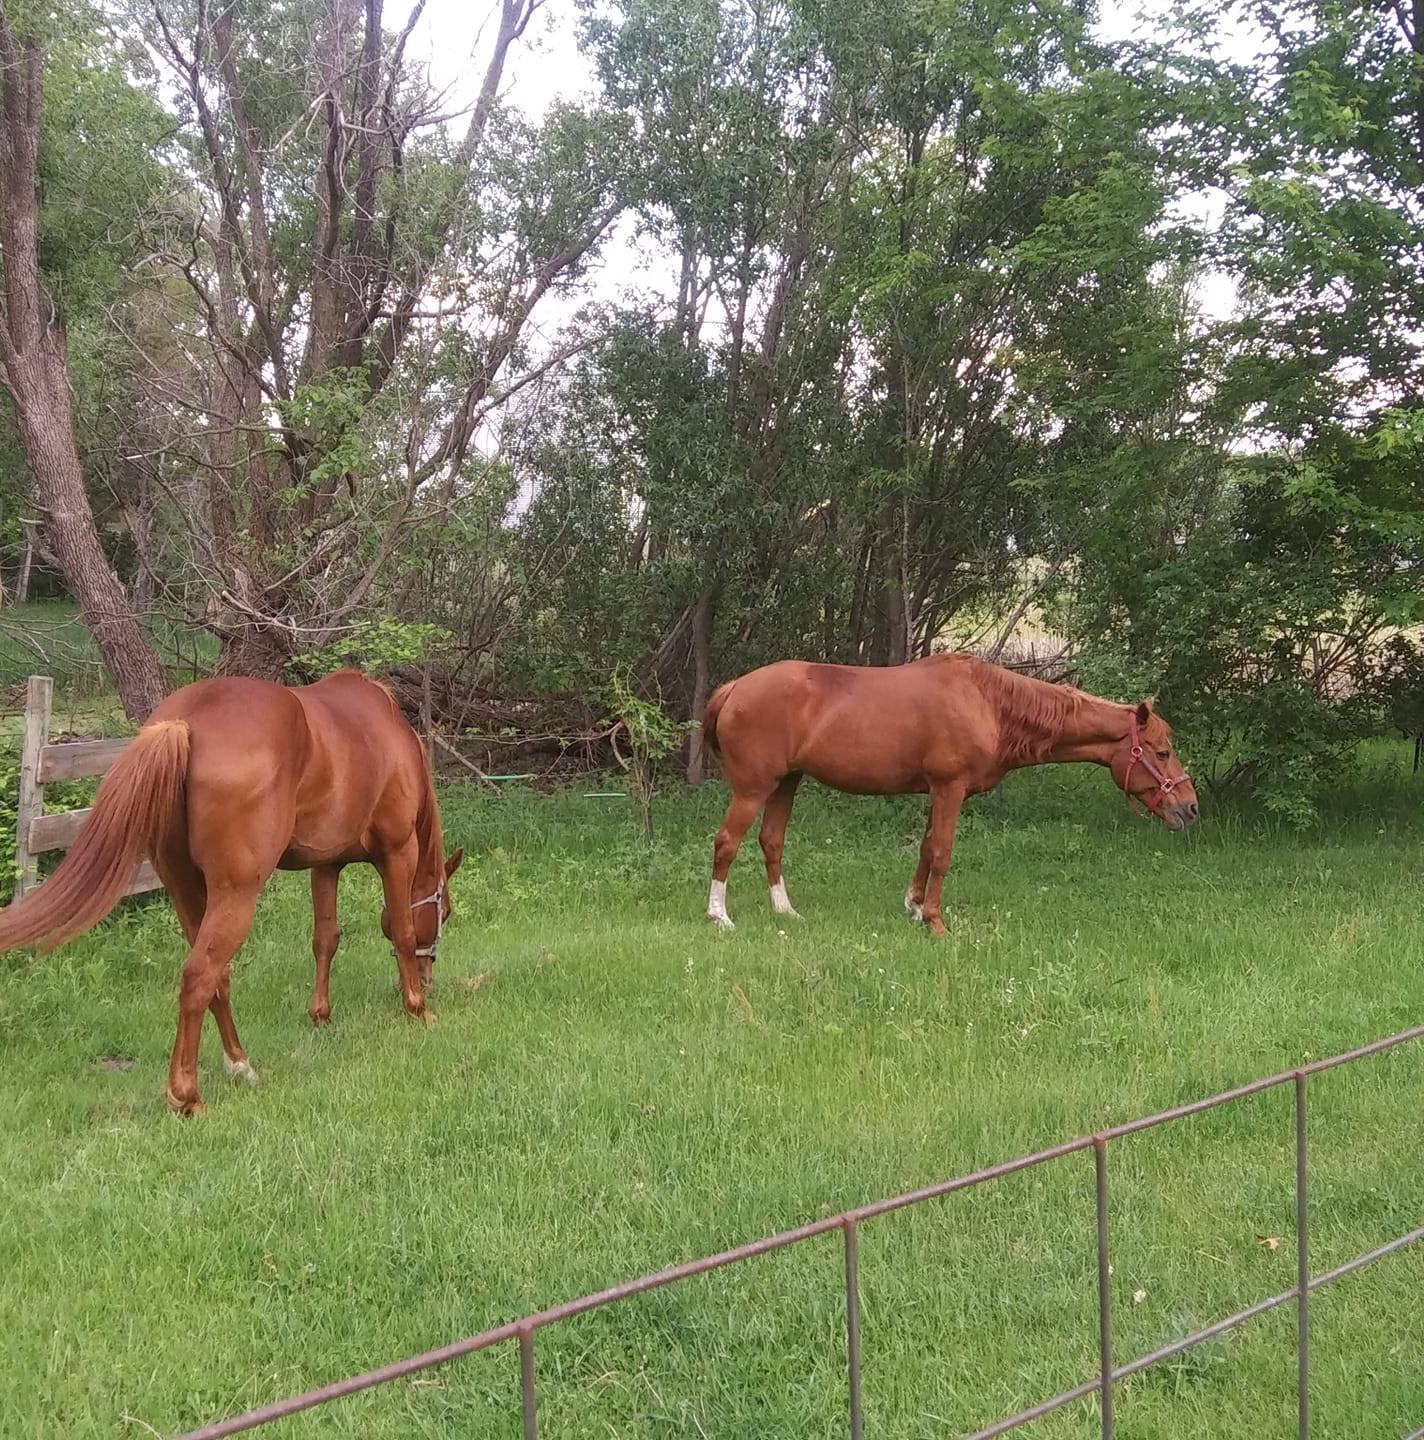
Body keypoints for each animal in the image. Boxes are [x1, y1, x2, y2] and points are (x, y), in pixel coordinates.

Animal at [0, 670, 463, 1115]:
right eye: (445, 913)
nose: (429, 977)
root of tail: (183, 722)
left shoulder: (325, 865)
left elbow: (325, 940)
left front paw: (321, 1016)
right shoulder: (398, 850)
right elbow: (402, 931)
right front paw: (417, 1008)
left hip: (186, 889)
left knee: (216, 976)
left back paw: (240, 1063)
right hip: (236, 895)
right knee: (199, 975)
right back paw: (186, 1096)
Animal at [700, 653, 1198, 933]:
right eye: (1162, 751)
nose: (1190, 808)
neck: (988, 704)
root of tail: (734, 688)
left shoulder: (936, 793)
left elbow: (924, 849)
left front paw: (915, 906)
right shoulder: (950, 789)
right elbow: (941, 852)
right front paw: (935, 921)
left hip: (787, 783)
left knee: (772, 842)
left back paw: (785, 911)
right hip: (754, 788)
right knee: (726, 842)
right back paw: (719, 916)